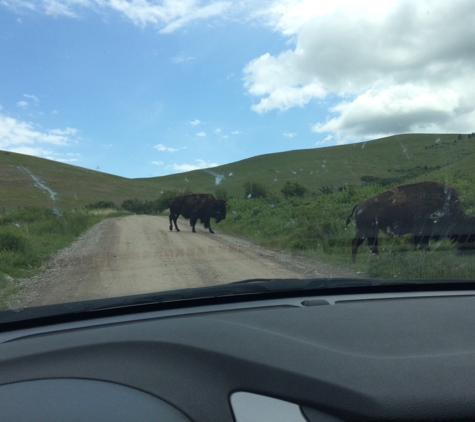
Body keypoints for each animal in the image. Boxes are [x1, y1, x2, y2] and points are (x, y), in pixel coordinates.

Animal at [346, 181, 475, 260]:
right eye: (469, 237)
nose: (468, 254)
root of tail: (359, 205)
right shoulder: (422, 233)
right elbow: (422, 245)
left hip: (367, 230)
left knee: (362, 244)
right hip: (367, 230)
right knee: (365, 244)